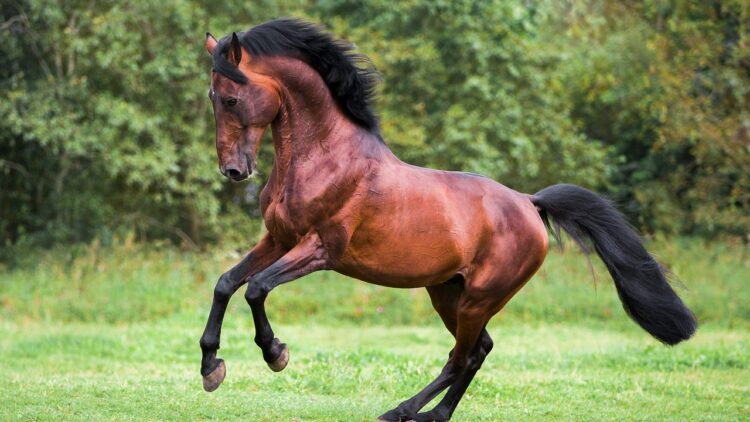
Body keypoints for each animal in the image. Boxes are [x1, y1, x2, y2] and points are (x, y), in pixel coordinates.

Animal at [200, 18, 700, 420]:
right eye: (212, 97)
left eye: (231, 99)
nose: (234, 171)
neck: (326, 158)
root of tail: (530, 203)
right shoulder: (279, 239)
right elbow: (227, 283)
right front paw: (211, 368)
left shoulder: (321, 248)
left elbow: (257, 288)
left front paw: (276, 354)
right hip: (448, 292)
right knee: (479, 351)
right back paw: (432, 415)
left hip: (480, 297)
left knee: (461, 357)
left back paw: (401, 412)